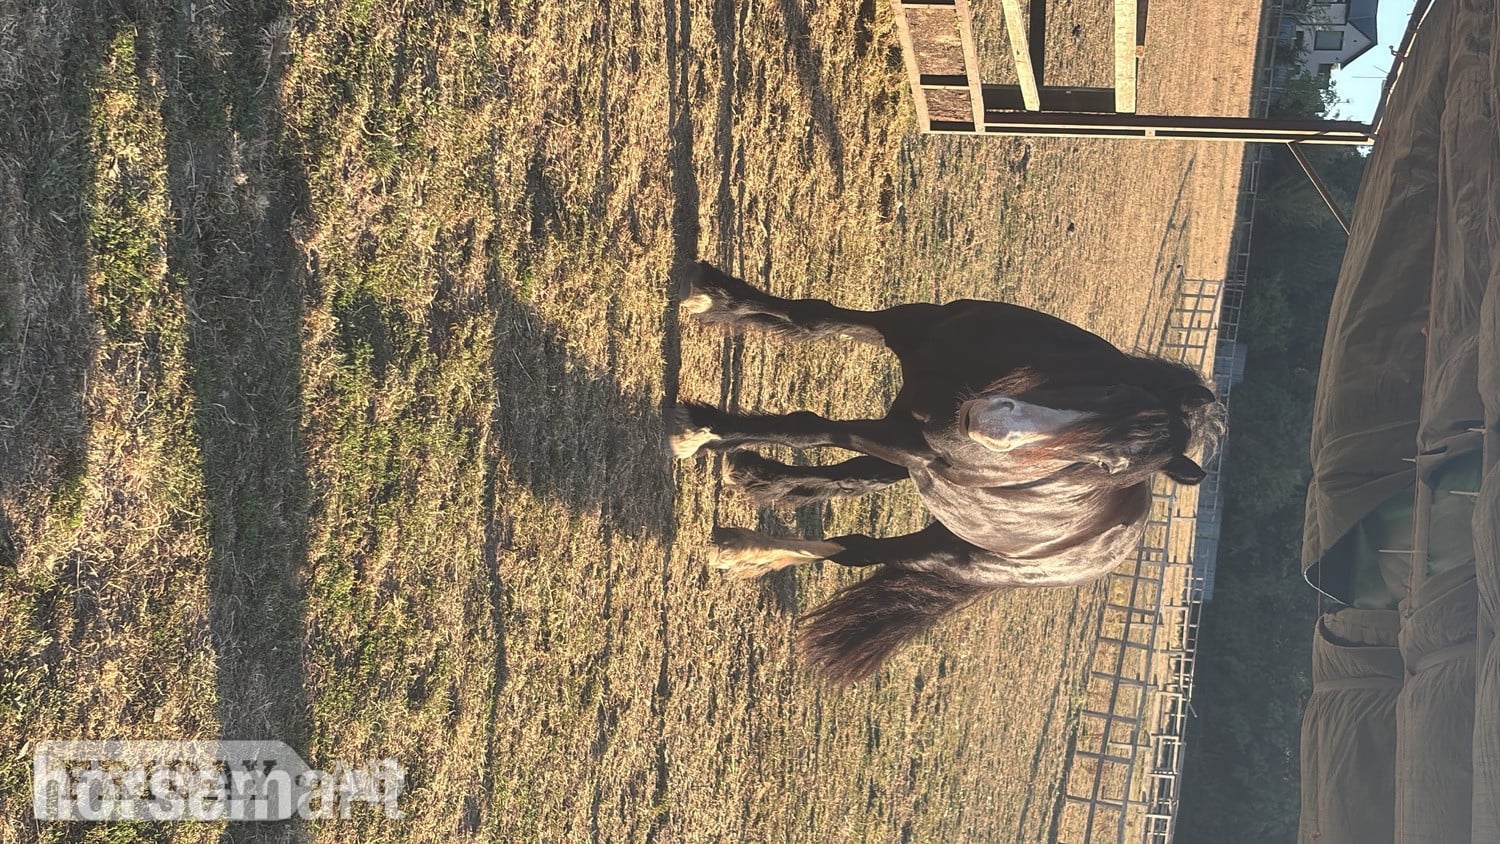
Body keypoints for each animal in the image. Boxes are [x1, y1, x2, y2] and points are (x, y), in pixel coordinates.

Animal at [671, 262, 1226, 684]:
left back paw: (746, 549)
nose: (988, 426)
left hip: (946, 548)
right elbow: (813, 317)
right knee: (851, 481)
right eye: (1112, 391)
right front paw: (715, 299)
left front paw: (703, 433)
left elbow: (813, 429)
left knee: (855, 548)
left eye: (1106, 466)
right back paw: (759, 484)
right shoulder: (911, 328)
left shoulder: (912, 445)